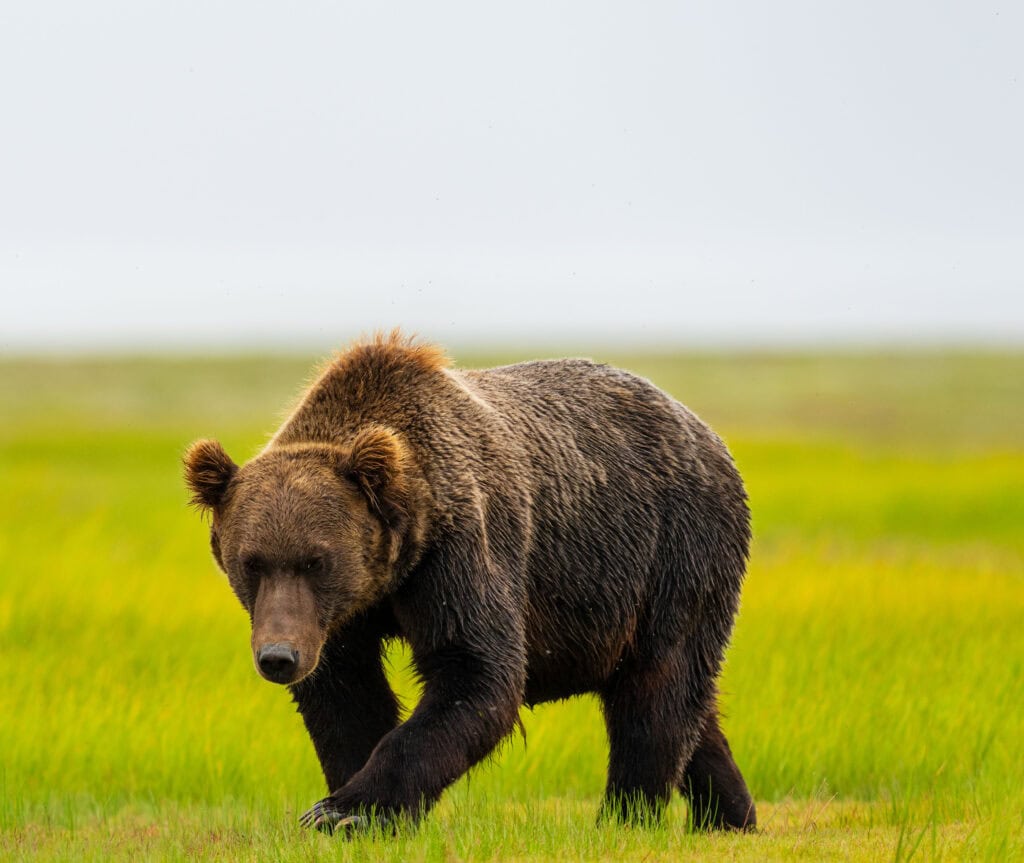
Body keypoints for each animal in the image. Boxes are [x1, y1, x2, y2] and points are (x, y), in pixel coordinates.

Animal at [184, 331, 756, 834]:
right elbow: (346, 693)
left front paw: (347, 812)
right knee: (692, 705)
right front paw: (350, 803)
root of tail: (710, 435)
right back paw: (729, 816)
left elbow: (475, 674)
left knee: (657, 691)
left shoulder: (458, 550)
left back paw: (627, 816)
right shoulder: (343, 615)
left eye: (316, 561)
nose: (279, 657)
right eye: (252, 562)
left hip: (673, 552)